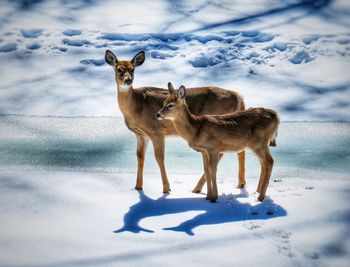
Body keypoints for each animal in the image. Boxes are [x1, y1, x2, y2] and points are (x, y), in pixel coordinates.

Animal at [104, 50, 246, 194]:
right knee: (239, 150)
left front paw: (166, 188)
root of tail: (239, 97)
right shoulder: (141, 134)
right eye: (119, 69)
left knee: (223, 152)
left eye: (132, 69)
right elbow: (140, 157)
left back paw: (199, 188)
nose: (128, 80)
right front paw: (138, 186)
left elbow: (159, 158)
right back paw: (240, 184)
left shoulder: (156, 131)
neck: (136, 106)